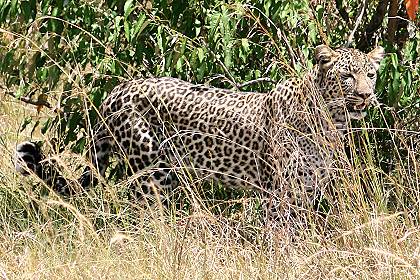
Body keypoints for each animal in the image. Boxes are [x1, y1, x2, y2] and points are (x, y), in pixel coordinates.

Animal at [15, 44, 384, 219]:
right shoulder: (281, 191)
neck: (333, 120)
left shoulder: (306, 189)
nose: (367, 95)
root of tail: (117, 90)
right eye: (347, 76)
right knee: (144, 218)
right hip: (152, 173)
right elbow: (284, 234)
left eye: (371, 74)